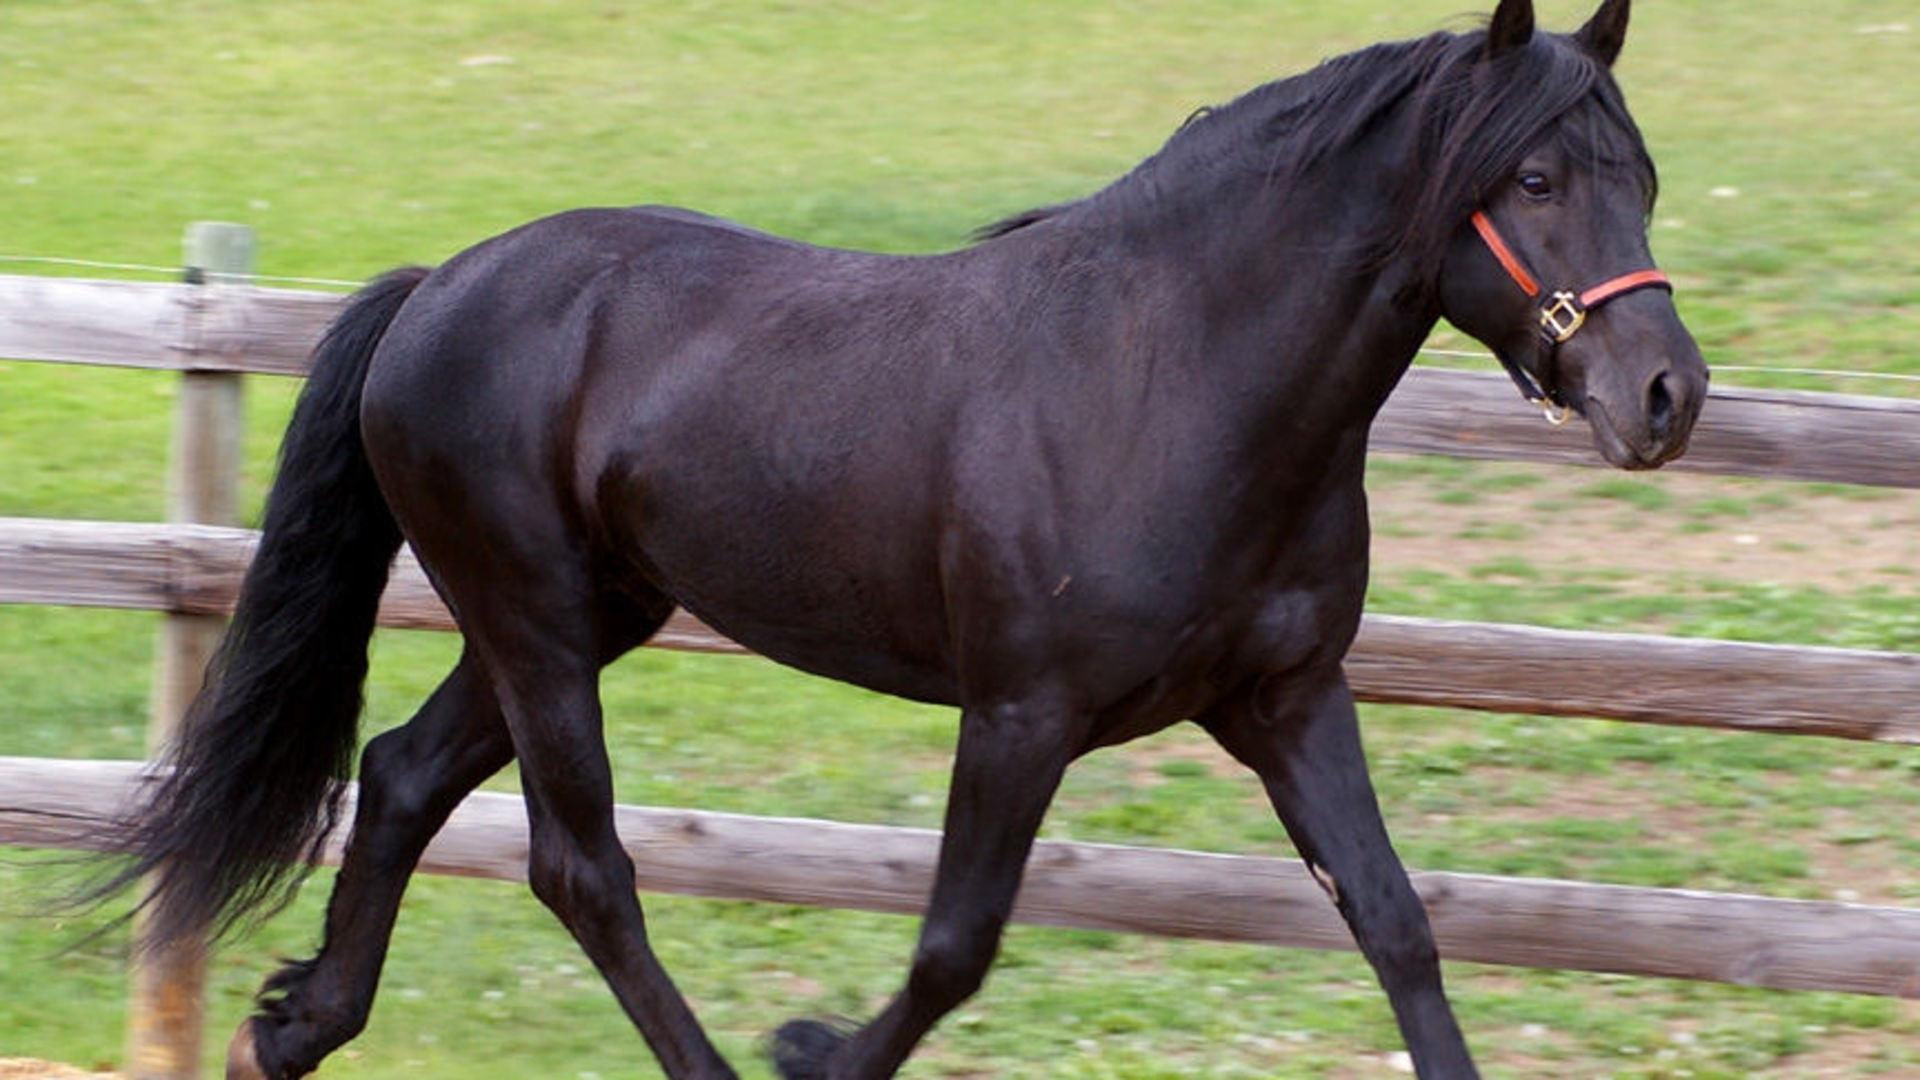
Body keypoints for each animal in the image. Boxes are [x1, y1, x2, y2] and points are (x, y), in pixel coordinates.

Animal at [100, 0, 1705, 1076]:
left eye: (1642, 179)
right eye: (1536, 181)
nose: (1667, 396)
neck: (1169, 378)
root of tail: (436, 290)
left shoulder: (1285, 700)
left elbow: (1395, 924)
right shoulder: (1020, 714)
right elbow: (953, 947)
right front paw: (813, 1049)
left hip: (578, 615)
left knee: (402, 778)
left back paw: (294, 1027)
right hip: (536, 620)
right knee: (582, 867)